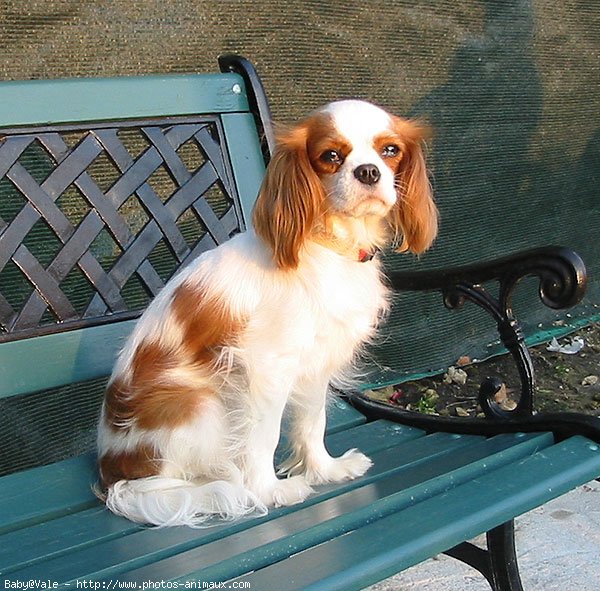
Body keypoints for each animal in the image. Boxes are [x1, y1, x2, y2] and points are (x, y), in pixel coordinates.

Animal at [97, 98, 436, 528]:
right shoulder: (267, 368)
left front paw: (325, 470)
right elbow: (264, 437)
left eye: (390, 150)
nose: (368, 171)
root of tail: (112, 478)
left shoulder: (316, 362)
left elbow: (312, 423)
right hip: (199, 404)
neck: (327, 246)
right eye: (331, 156)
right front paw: (269, 491)